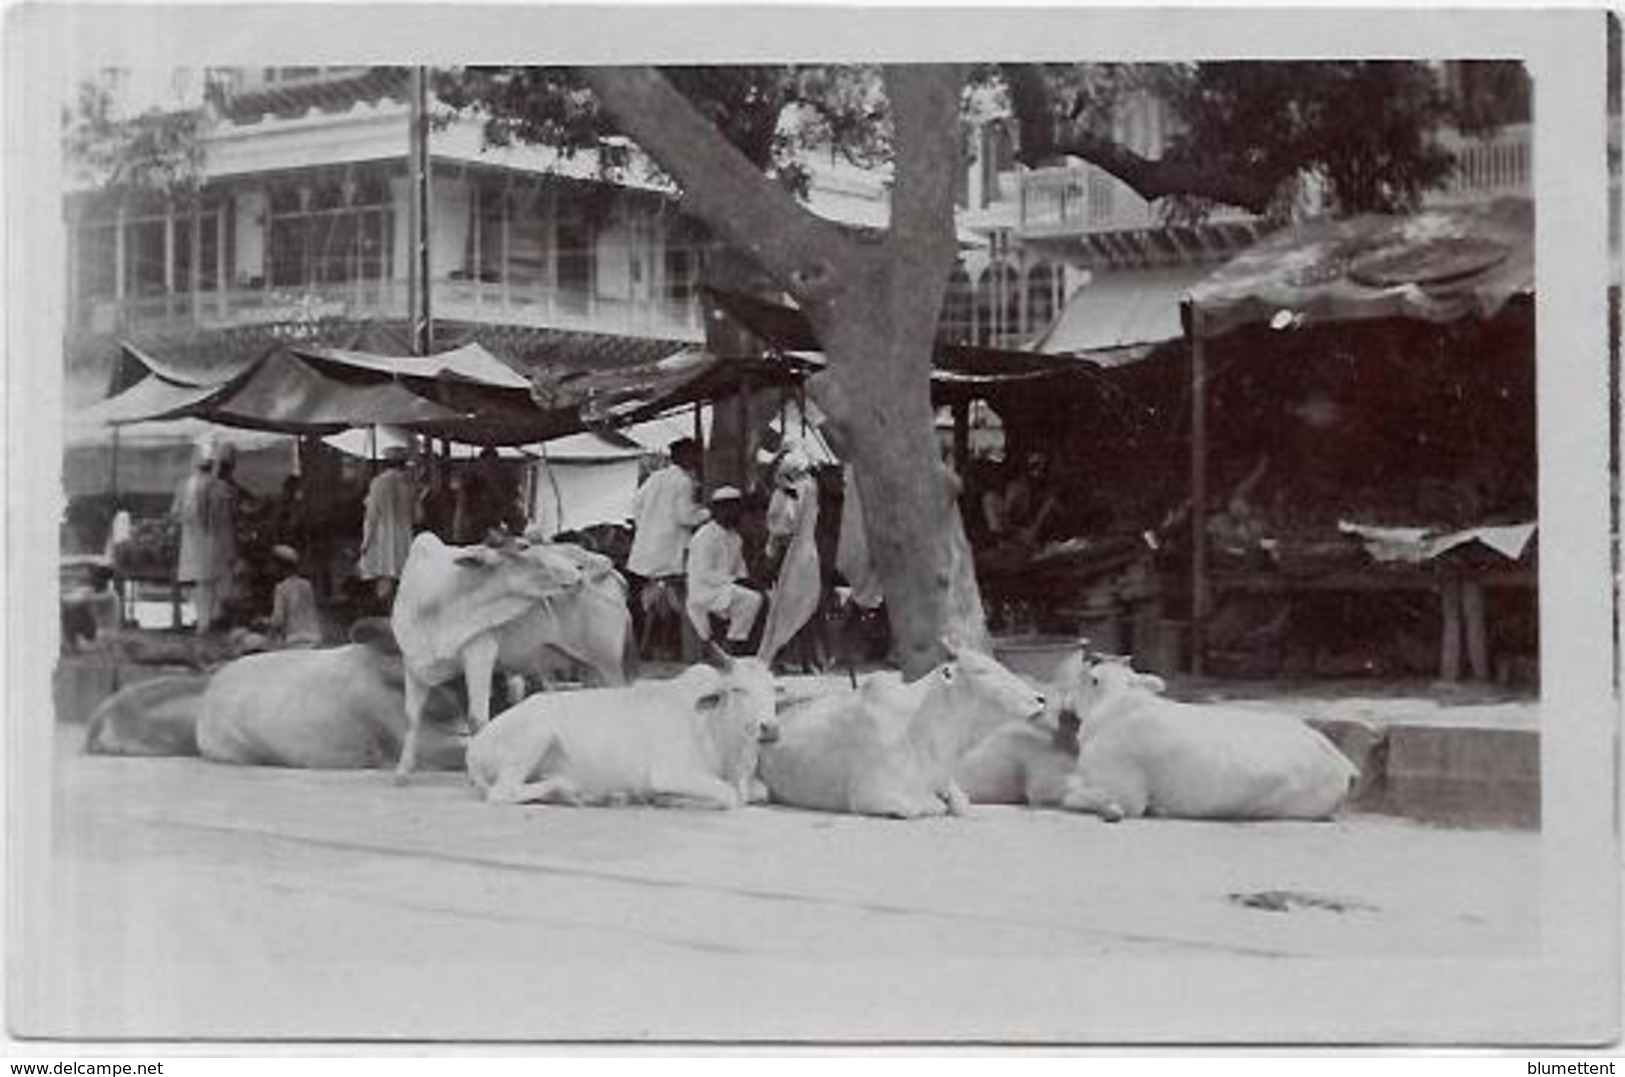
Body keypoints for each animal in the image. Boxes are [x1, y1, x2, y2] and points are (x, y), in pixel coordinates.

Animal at [393, 539, 633, 782]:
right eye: (524, 550)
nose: (579, 569)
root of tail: (615, 576)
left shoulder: (480, 653)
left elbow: (477, 719)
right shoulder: (412, 663)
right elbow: (411, 716)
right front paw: (402, 771)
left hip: (607, 664)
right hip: (589, 668)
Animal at [468, 649, 776, 808]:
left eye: (774, 687)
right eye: (738, 689)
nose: (770, 728)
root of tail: (474, 747)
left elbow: (758, 793)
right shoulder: (670, 772)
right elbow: (730, 797)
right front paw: (668, 799)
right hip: (536, 736)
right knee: (503, 792)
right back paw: (574, 790)